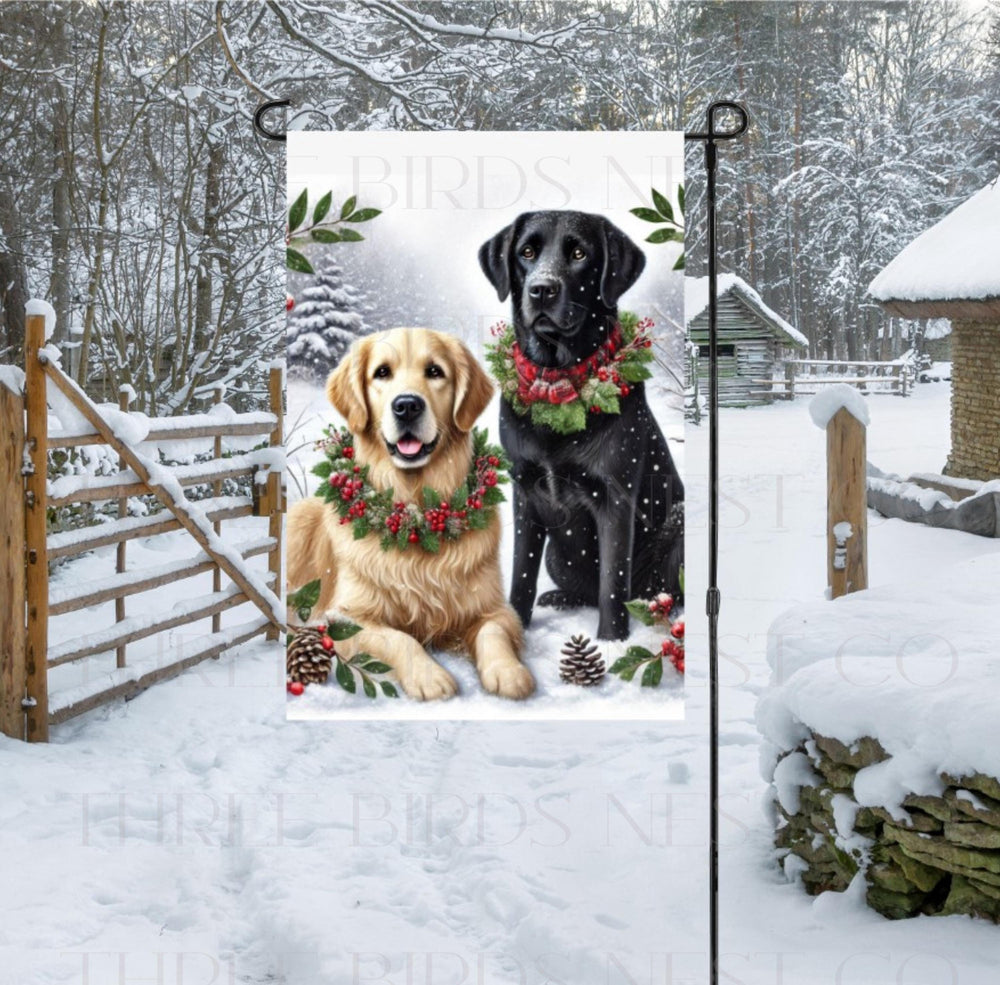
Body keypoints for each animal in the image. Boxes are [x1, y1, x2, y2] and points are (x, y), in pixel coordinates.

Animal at [286, 330, 536, 700]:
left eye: (434, 371)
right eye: (382, 373)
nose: (407, 406)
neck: (415, 512)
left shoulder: (494, 608)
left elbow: (494, 632)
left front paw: (508, 672)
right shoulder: (345, 617)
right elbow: (399, 638)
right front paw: (429, 676)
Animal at [478, 209, 684, 640]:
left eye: (578, 253)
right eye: (526, 252)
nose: (541, 289)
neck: (556, 383)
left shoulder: (615, 495)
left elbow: (612, 582)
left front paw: (611, 643)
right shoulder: (525, 490)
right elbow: (522, 572)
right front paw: (514, 629)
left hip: (679, 521)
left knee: (653, 589)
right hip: (559, 552)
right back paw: (560, 598)